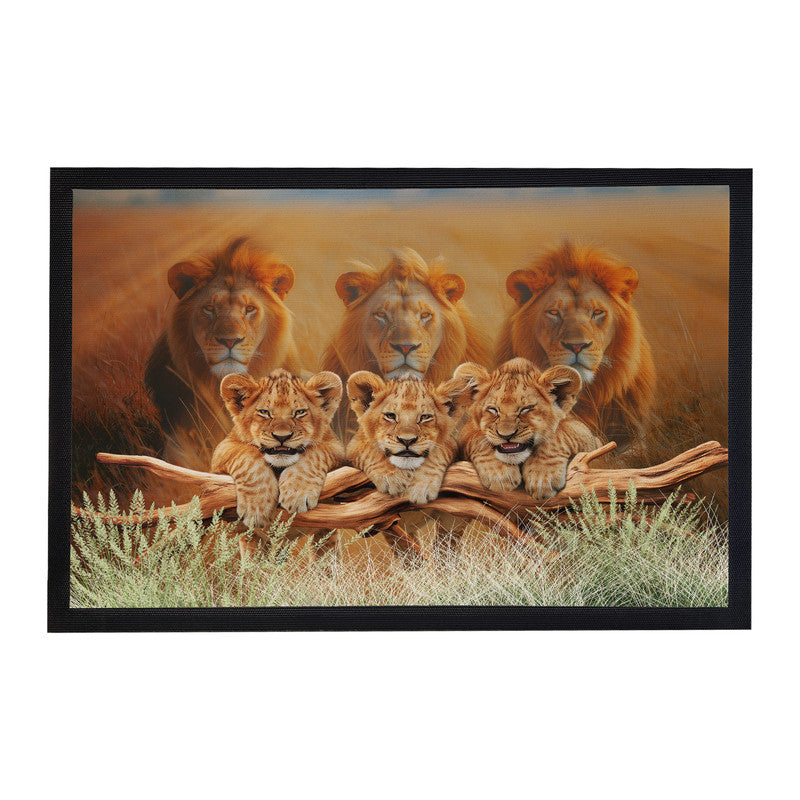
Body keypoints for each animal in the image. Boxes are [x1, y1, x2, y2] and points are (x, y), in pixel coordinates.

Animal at [211, 368, 345, 559]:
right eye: (265, 412)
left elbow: (315, 453)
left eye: (299, 412)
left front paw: (297, 494)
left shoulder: (337, 449)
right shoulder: (222, 451)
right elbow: (247, 454)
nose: (282, 437)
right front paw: (257, 507)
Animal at [455, 358, 602, 501]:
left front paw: (542, 477)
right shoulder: (466, 434)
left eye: (526, 409)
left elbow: (559, 434)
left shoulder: (589, 438)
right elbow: (479, 439)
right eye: (493, 410)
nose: (506, 435)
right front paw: (499, 474)